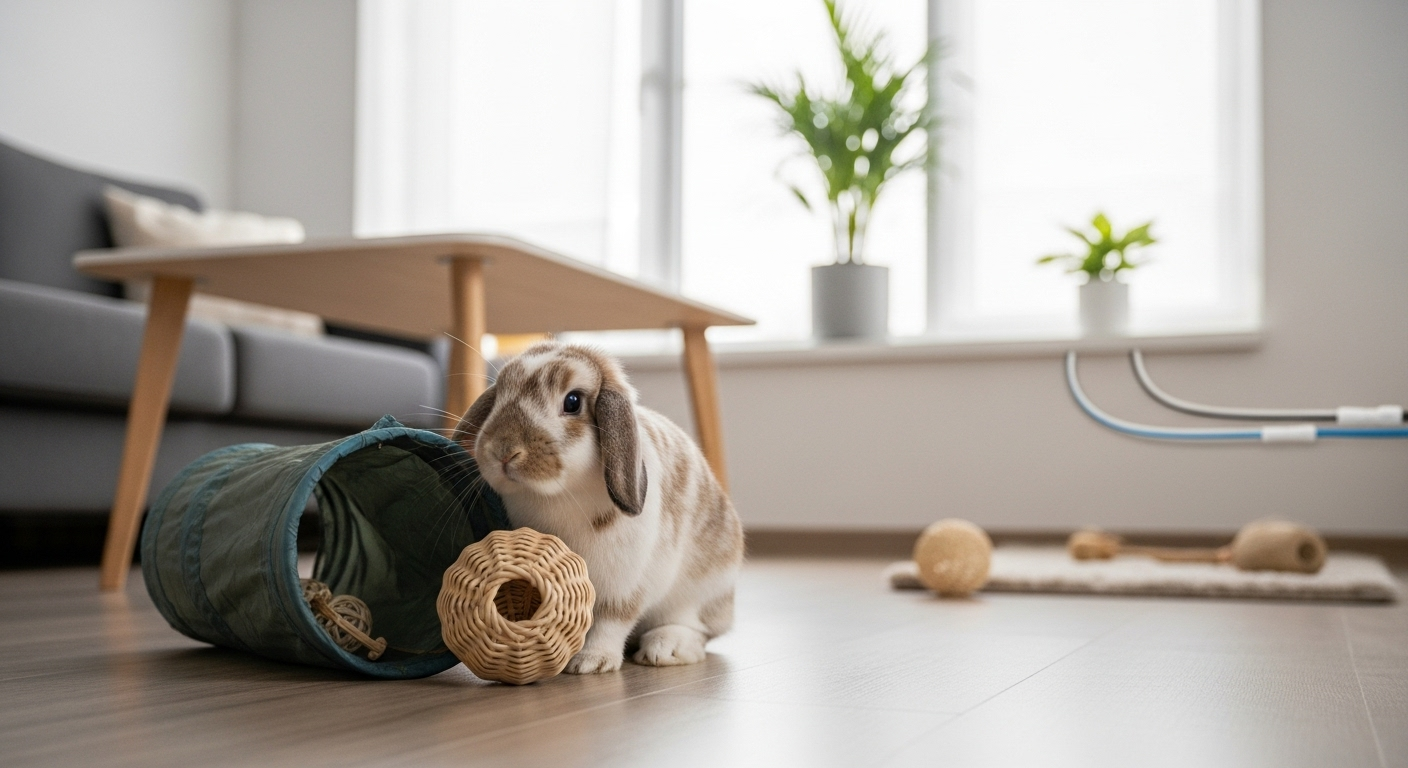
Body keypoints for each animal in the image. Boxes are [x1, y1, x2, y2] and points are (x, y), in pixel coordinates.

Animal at [454, 341, 744, 673]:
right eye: (499, 393)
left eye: (573, 402)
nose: (503, 451)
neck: (557, 495)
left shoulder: (623, 584)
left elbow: (611, 620)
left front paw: (590, 662)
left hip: (697, 592)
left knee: (696, 629)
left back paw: (664, 649)